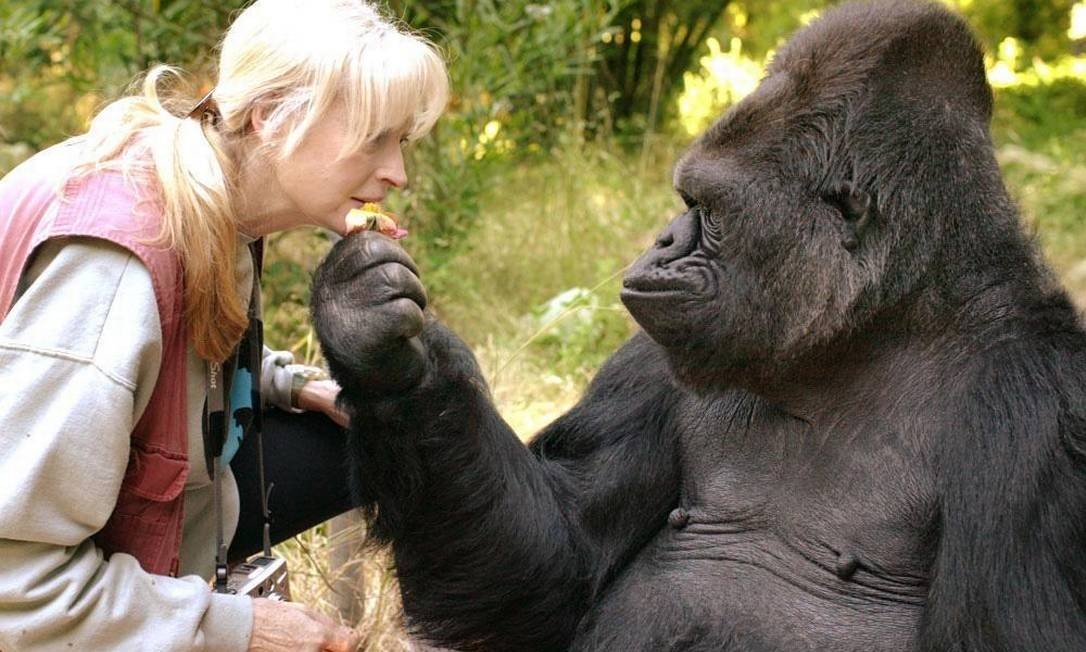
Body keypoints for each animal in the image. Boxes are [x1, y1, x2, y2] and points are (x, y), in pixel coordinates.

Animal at [310, 2, 1086, 647]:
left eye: (706, 211)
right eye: (686, 201)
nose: (660, 242)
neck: (870, 332)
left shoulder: (1043, 416)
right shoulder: (656, 355)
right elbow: (554, 565)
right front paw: (380, 350)